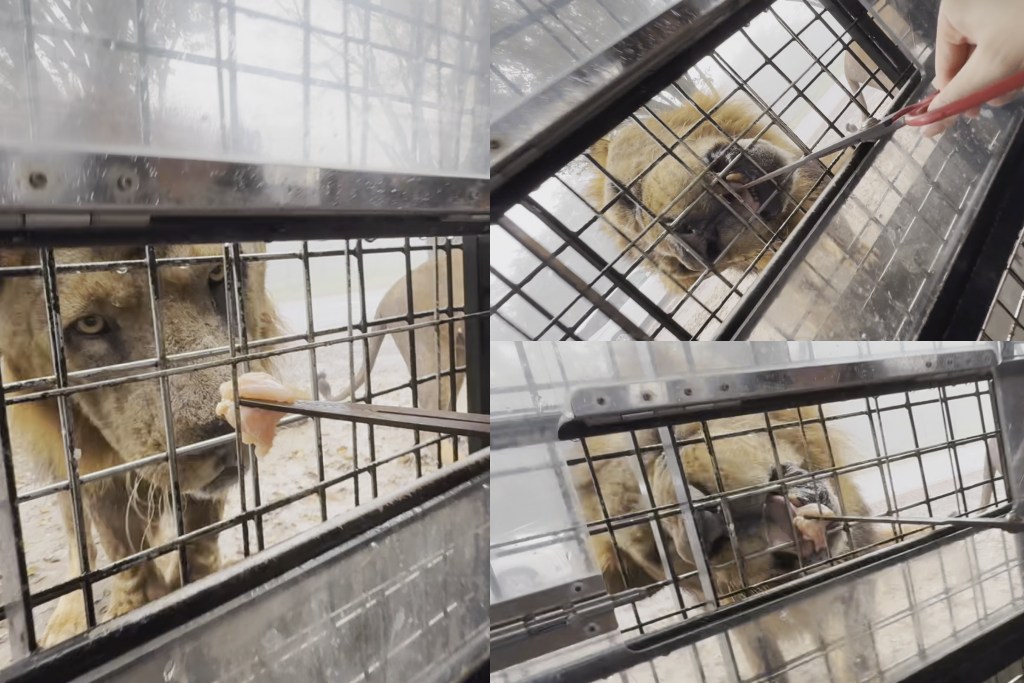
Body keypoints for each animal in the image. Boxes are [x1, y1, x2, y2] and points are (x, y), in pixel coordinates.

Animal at [0, 244, 282, 647]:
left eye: (217, 274)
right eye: (90, 324)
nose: (227, 441)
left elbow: (200, 537)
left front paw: (198, 581)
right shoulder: (96, 467)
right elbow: (122, 547)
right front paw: (137, 604)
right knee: (78, 537)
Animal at [577, 409, 880, 679]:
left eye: (659, 439)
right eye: (657, 548)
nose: (701, 522)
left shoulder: (847, 596)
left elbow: (849, 658)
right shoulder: (750, 631)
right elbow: (767, 667)